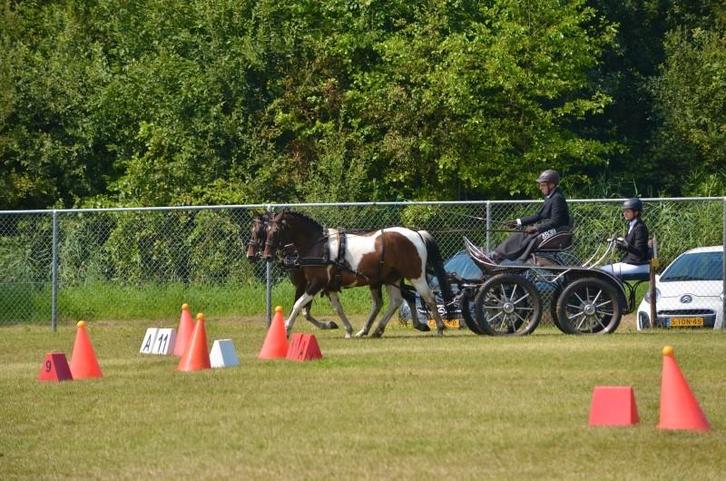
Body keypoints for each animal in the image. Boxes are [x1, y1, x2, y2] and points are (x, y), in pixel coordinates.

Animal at [262, 211, 454, 338]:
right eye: (266, 231)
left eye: (275, 231)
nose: (267, 255)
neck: (319, 246)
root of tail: (416, 233)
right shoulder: (329, 285)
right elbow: (337, 308)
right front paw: (348, 329)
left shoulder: (316, 283)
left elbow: (298, 305)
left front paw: (286, 329)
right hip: (391, 278)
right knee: (395, 301)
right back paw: (375, 330)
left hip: (416, 275)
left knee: (428, 297)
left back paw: (439, 327)